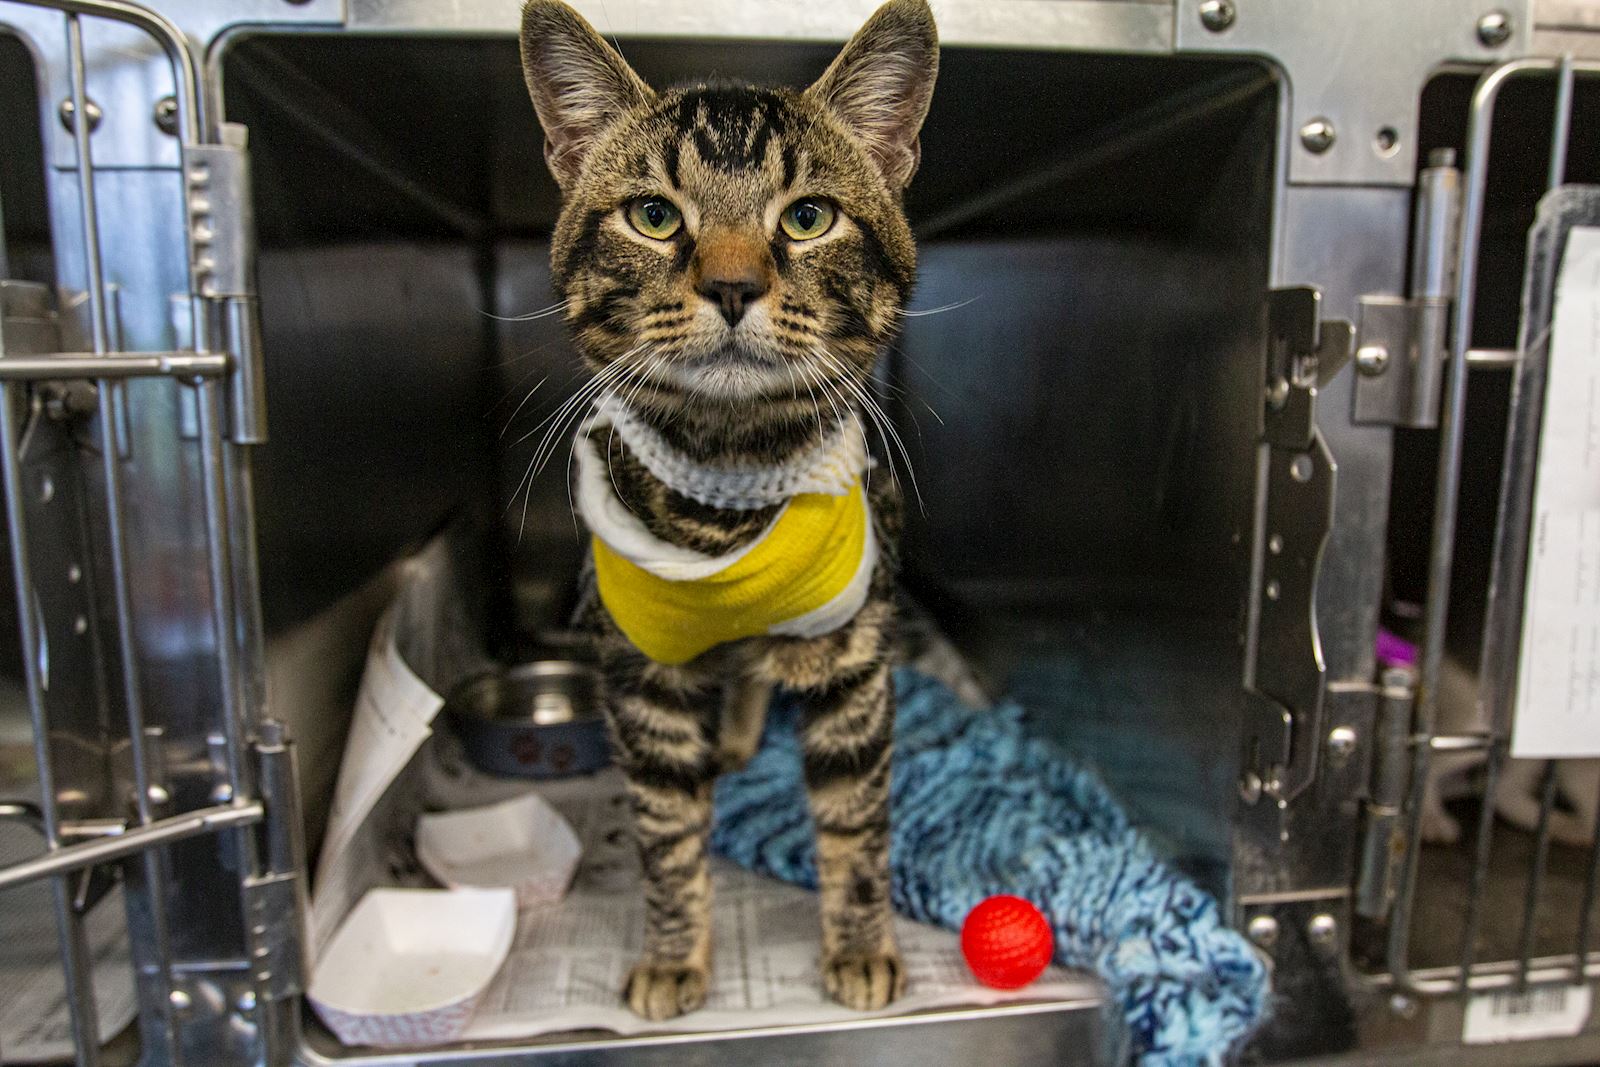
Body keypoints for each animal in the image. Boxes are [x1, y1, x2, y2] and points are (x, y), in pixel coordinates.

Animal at [512, 0, 934, 1023]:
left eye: (809, 217)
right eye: (655, 215)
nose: (734, 284)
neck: (731, 476)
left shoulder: (854, 658)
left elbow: (856, 823)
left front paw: (860, 946)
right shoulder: (640, 673)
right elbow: (667, 833)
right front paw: (674, 953)